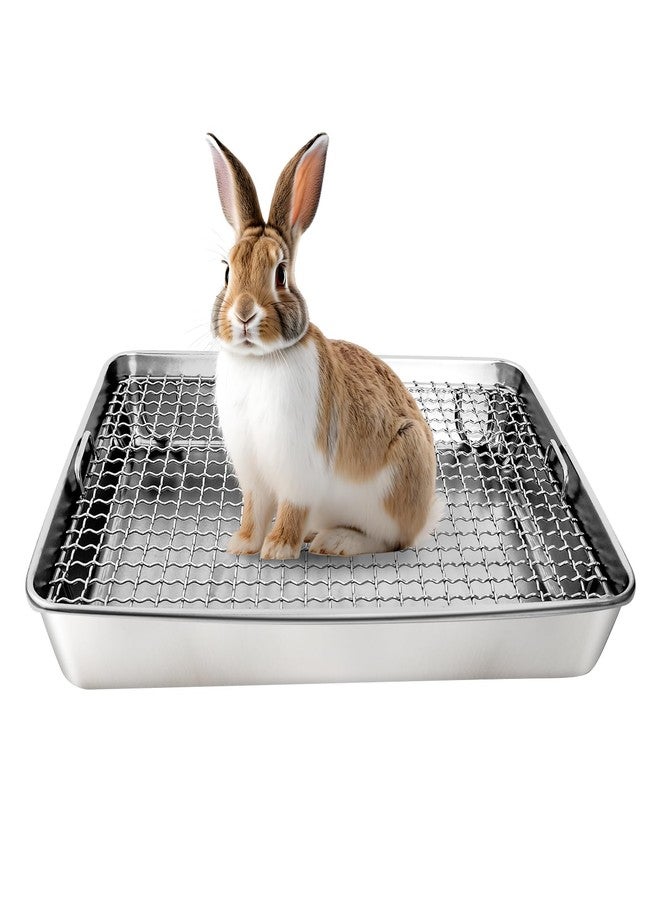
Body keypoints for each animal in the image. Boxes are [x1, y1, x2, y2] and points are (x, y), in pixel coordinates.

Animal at [207, 132, 442, 559]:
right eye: (227, 271)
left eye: (281, 274)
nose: (244, 313)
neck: (260, 360)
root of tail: (422, 519)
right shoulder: (253, 473)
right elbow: (254, 508)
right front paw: (242, 545)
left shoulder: (299, 470)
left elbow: (290, 509)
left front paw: (278, 549)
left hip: (395, 479)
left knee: (389, 541)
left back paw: (334, 541)